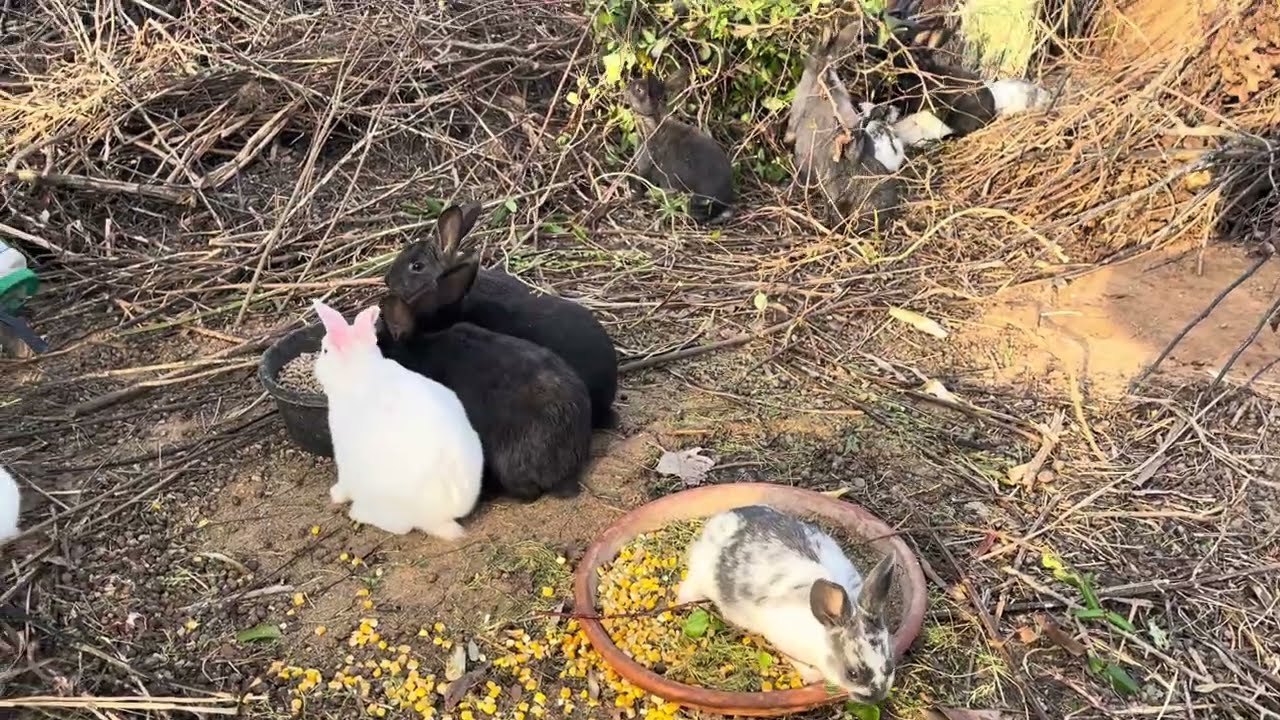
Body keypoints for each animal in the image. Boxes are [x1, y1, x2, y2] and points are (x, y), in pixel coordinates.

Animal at [311, 299, 483, 541]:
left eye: (325, 350)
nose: (316, 368)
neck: (361, 369)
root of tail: (439, 518)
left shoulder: (344, 457)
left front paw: (335, 494)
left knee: (400, 527)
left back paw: (359, 513)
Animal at [676, 505, 897, 703]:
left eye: (889, 665)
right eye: (852, 673)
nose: (877, 697)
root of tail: (722, 518)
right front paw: (814, 678)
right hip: (699, 577)